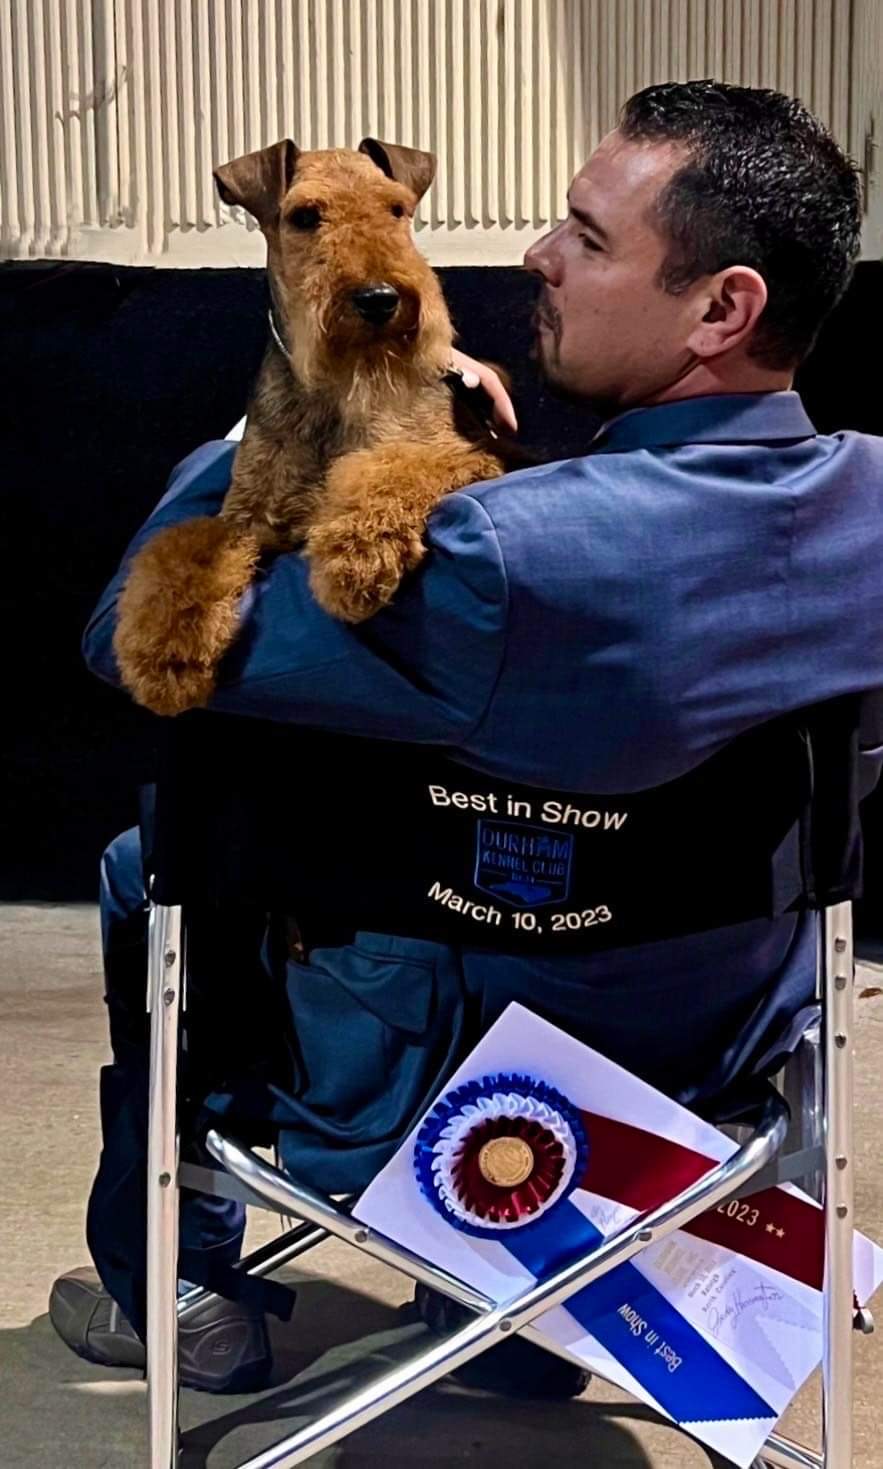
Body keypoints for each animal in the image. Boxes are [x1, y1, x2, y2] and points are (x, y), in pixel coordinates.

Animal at [113, 137, 521, 718]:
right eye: (305, 216)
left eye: (396, 208)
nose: (380, 298)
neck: (340, 392)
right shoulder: (245, 519)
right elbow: (183, 544)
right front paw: (165, 658)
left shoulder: (467, 456)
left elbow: (393, 467)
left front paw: (357, 557)